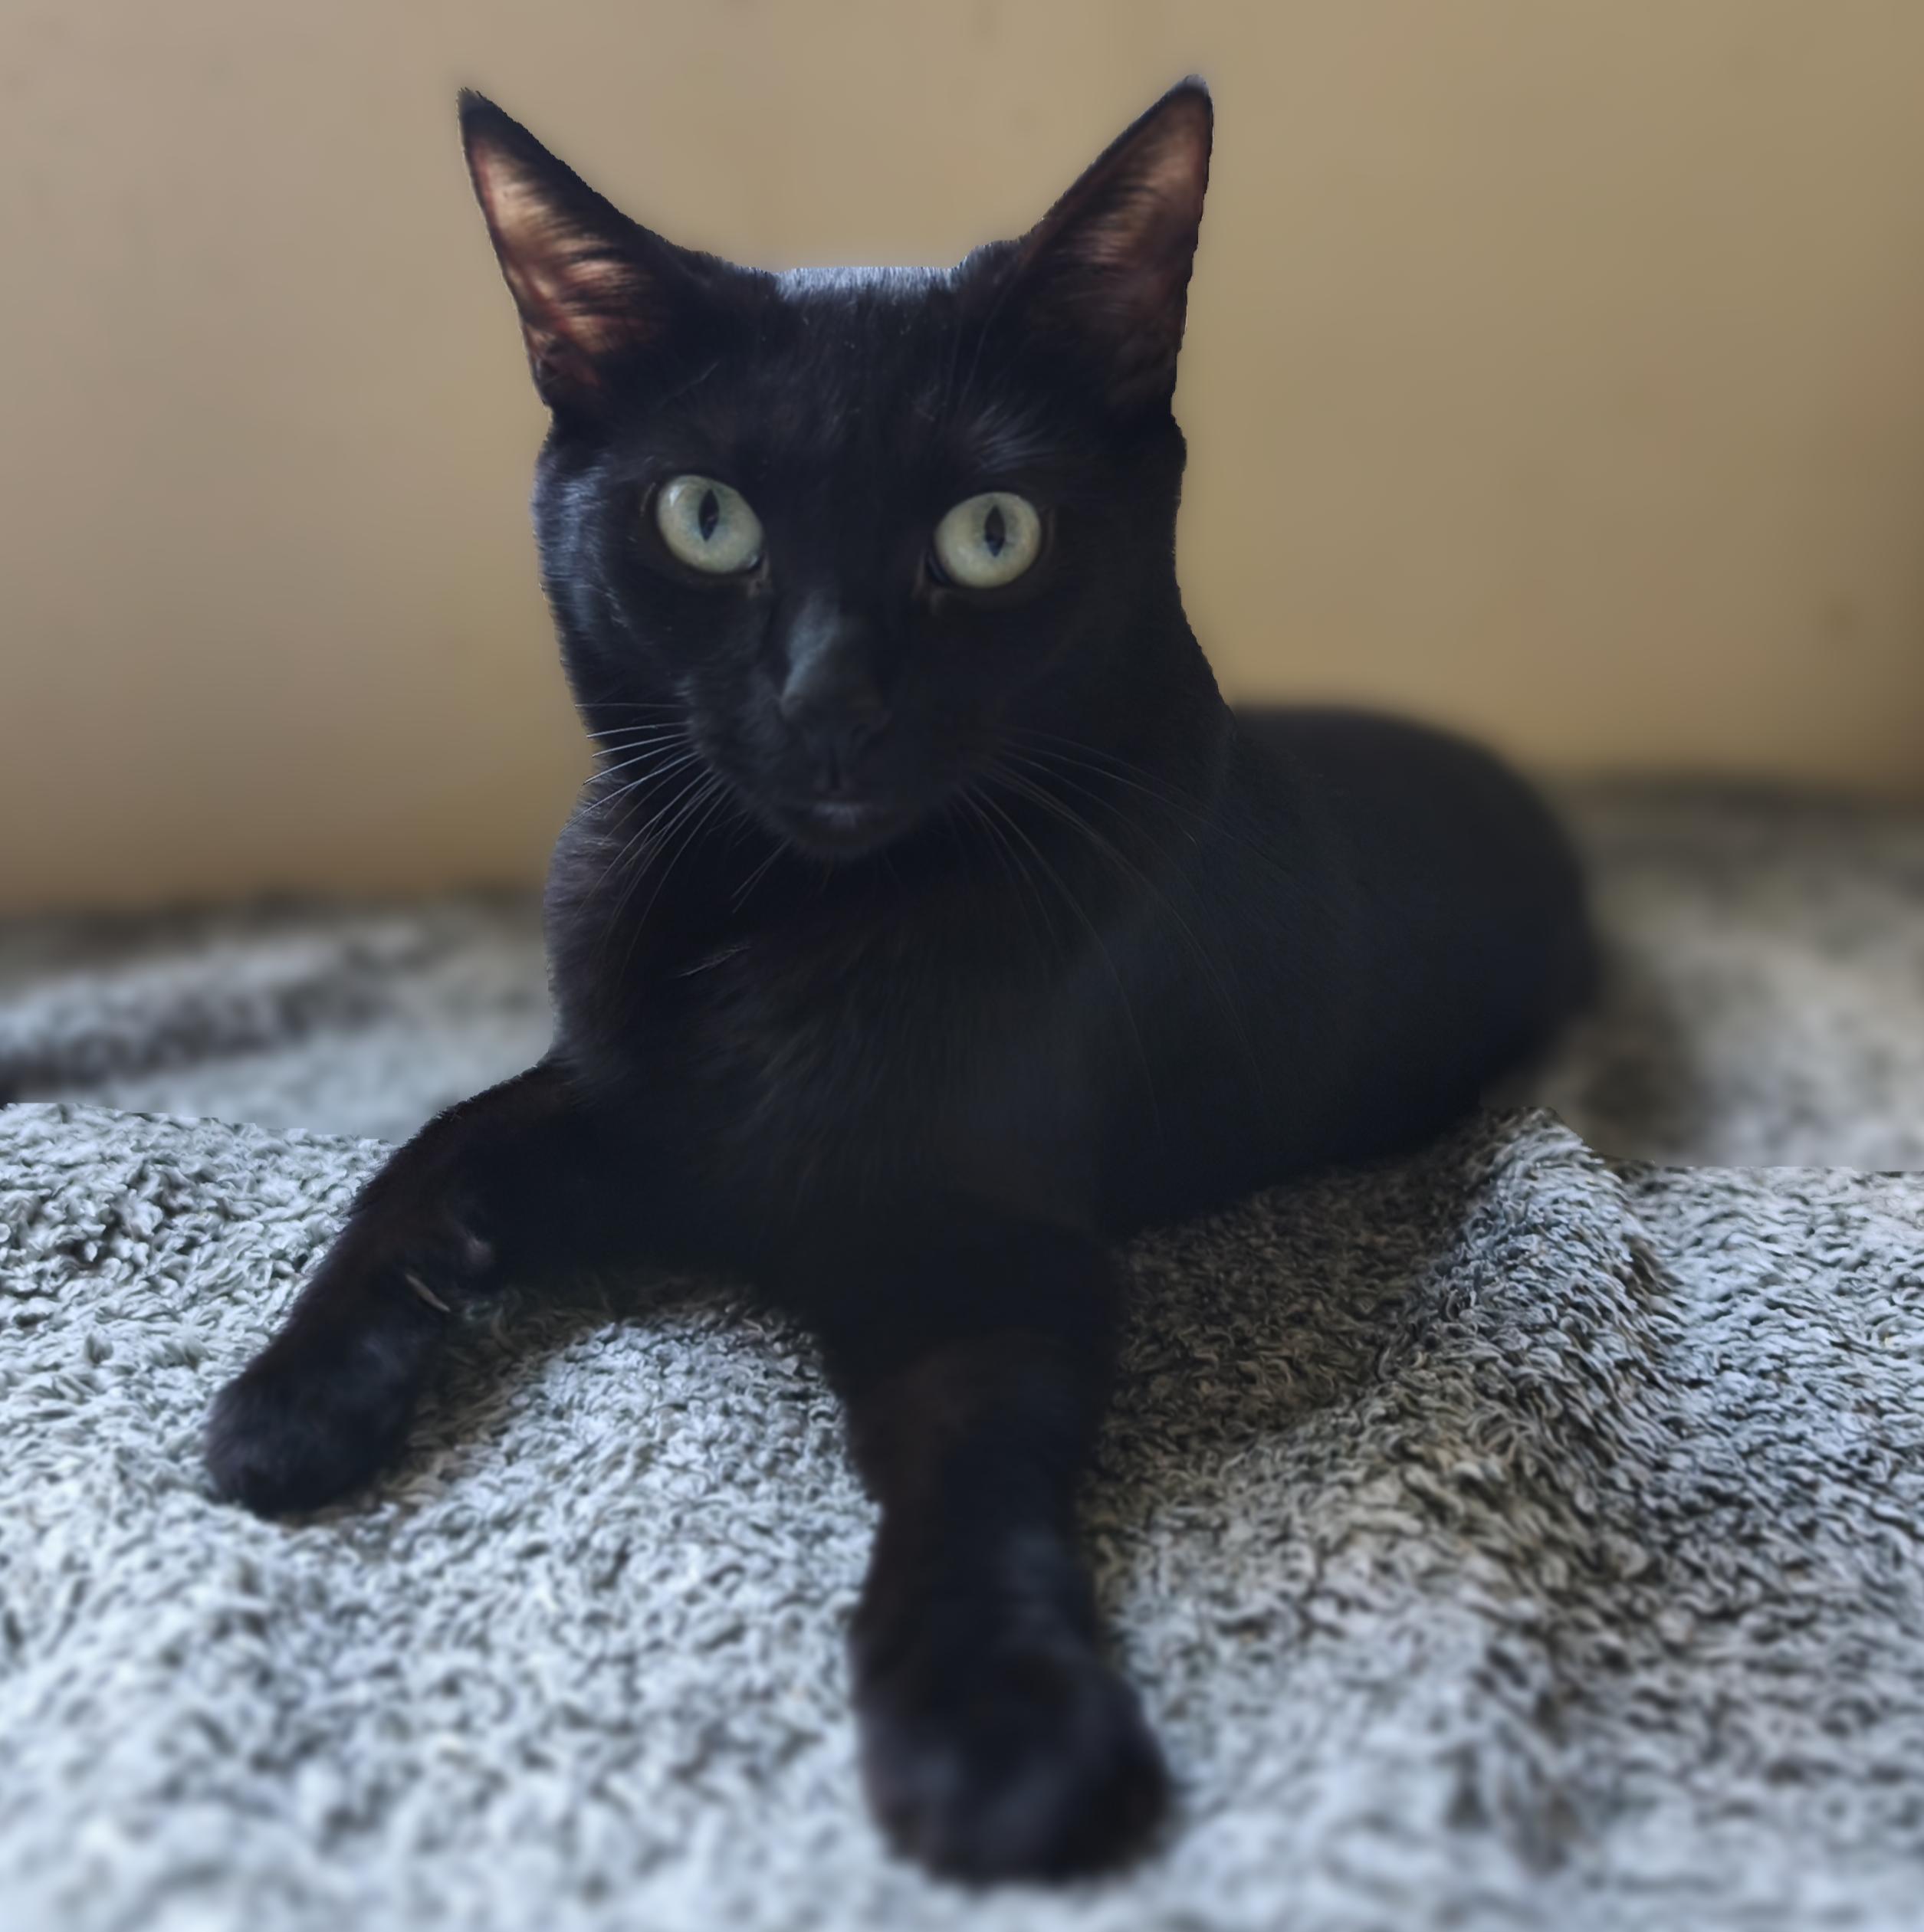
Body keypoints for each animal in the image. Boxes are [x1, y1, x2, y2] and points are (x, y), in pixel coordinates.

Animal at [204, 78, 1594, 1882]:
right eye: (705, 519)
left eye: (988, 536)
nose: (833, 699)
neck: (780, 921)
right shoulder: (628, 1104)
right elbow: (426, 1161)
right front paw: (288, 1406)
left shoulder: (980, 1250)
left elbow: (970, 1478)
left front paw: (999, 1736)